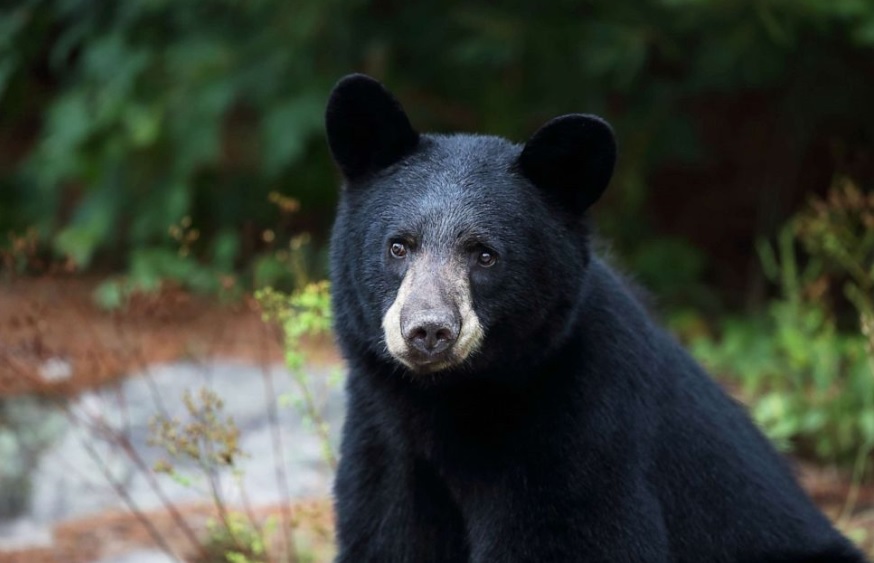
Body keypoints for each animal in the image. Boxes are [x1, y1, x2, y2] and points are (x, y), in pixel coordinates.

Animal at [322, 75, 864, 563]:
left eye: (485, 255)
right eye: (398, 246)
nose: (429, 330)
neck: (452, 404)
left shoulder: (583, 435)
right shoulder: (386, 451)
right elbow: (385, 537)